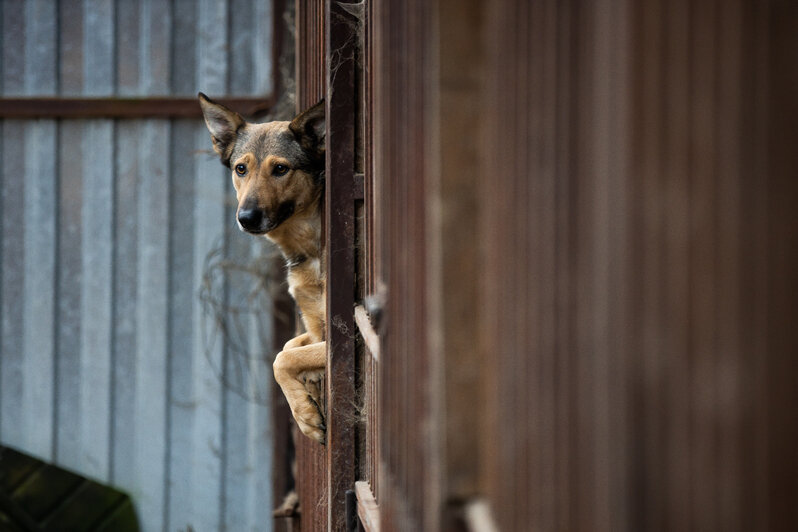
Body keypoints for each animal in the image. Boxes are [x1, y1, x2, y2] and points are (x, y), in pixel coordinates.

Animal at [198, 93, 326, 442]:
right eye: (241, 169)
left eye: (280, 169)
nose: (246, 218)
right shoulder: (314, 327)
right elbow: (286, 349)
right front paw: (306, 403)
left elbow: (282, 358)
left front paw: (306, 415)